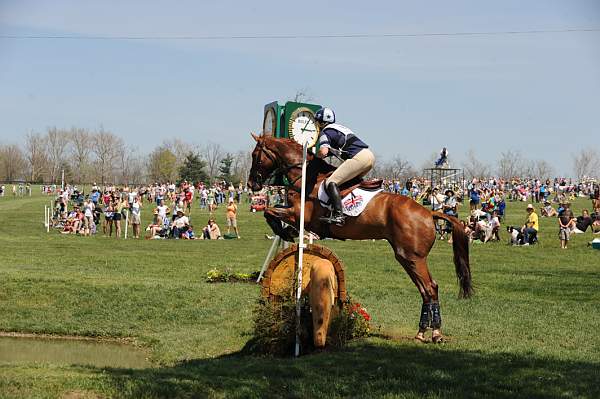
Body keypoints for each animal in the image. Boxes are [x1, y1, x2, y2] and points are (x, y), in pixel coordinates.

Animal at [248, 135, 474, 344]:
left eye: (255, 155)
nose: (251, 184)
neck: (306, 177)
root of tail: (429, 213)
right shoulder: (296, 214)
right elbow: (272, 211)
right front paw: (287, 232)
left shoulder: (300, 215)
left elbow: (269, 211)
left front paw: (285, 231)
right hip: (406, 257)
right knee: (425, 290)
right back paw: (421, 332)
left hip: (414, 257)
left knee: (431, 288)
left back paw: (436, 333)